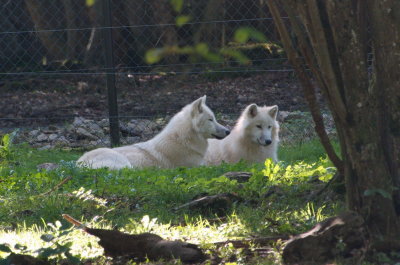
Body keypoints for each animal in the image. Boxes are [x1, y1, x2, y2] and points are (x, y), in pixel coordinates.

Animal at [76, 95, 230, 169]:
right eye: (211, 119)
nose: (228, 131)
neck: (183, 140)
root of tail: (78, 164)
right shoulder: (197, 167)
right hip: (125, 164)